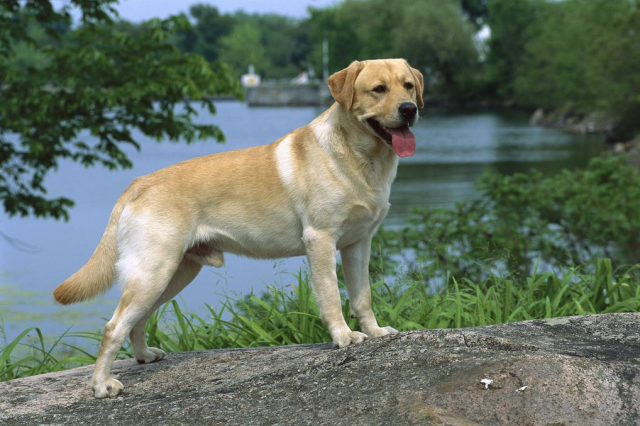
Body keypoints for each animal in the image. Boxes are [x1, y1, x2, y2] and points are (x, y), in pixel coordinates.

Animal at [56, 58, 424, 398]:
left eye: (408, 86)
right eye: (378, 89)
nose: (409, 109)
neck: (360, 158)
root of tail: (139, 182)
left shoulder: (358, 243)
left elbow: (363, 296)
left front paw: (375, 332)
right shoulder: (320, 241)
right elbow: (332, 297)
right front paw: (344, 337)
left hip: (173, 273)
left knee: (138, 320)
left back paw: (144, 356)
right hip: (153, 271)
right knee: (113, 326)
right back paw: (102, 385)